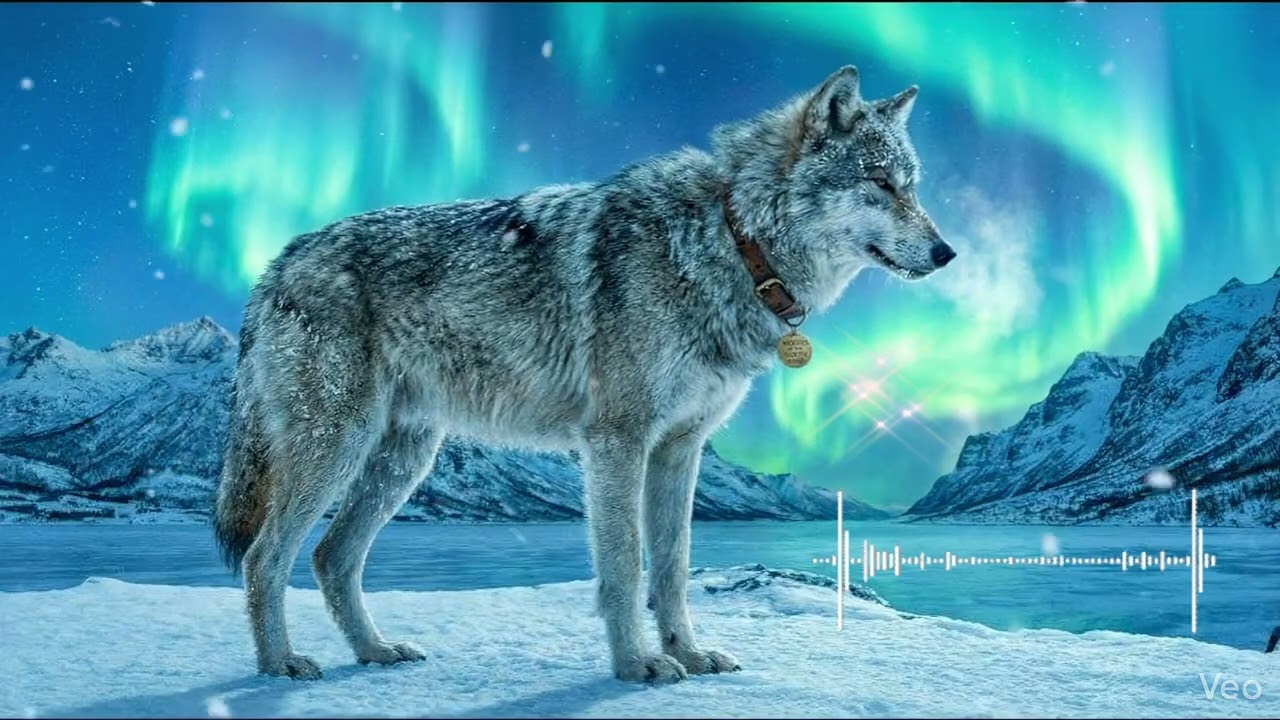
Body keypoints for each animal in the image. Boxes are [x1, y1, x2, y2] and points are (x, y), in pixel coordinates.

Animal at [213, 65, 955, 683]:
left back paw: (374, 651)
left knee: (330, 558)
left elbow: (673, 569)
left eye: (913, 188)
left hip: (402, 459)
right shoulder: (616, 441)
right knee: (264, 558)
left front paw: (689, 655)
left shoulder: (680, 449)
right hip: (336, 448)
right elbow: (625, 566)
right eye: (882, 185)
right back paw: (279, 666)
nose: (947, 252)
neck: (731, 237)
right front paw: (637, 666)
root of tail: (277, 263)